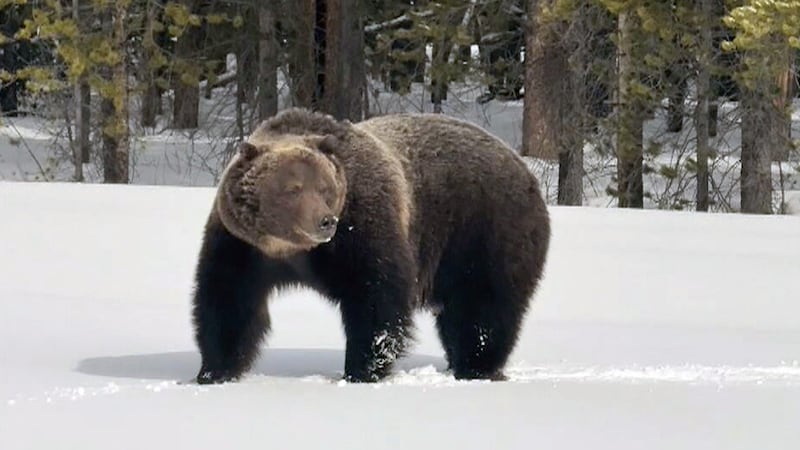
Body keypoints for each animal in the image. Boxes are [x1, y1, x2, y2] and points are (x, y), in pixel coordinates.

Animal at [191, 108, 551, 384]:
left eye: (325, 188)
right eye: (293, 188)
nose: (324, 222)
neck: (289, 250)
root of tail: (524, 167)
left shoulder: (362, 227)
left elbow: (376, 297)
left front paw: (363, 369)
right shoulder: (242, 245)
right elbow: (228, 300)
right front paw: (214, 371)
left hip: (485, 232)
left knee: (483, 309)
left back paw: (476, 366)